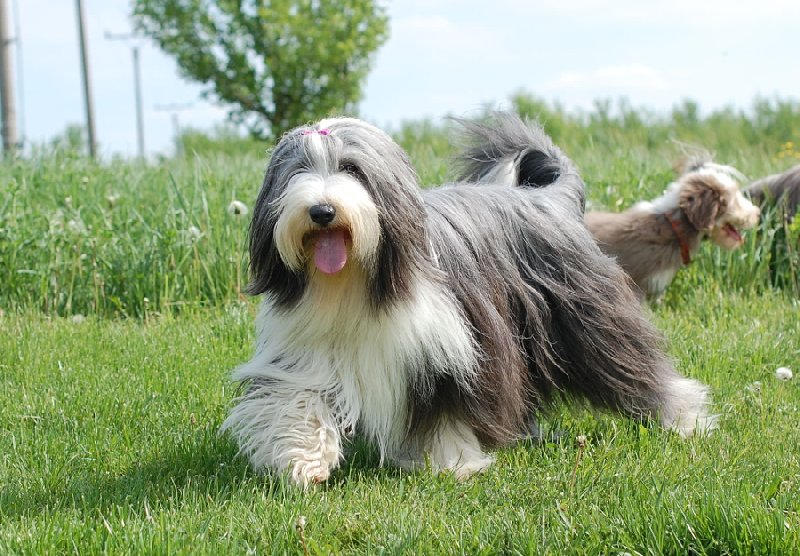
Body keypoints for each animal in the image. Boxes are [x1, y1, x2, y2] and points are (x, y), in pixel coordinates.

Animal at [222, 113, 716, 486]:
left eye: (351, 169)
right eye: (296, 173)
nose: (321, 210)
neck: (353, 282)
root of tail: (544, 199)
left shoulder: (447, 349)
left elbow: (443, 411)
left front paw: (452, 465)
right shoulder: (302, 351)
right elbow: (296, 399)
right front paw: (302, 462)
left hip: (589, 319)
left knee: (632, 363)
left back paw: (683, 418)